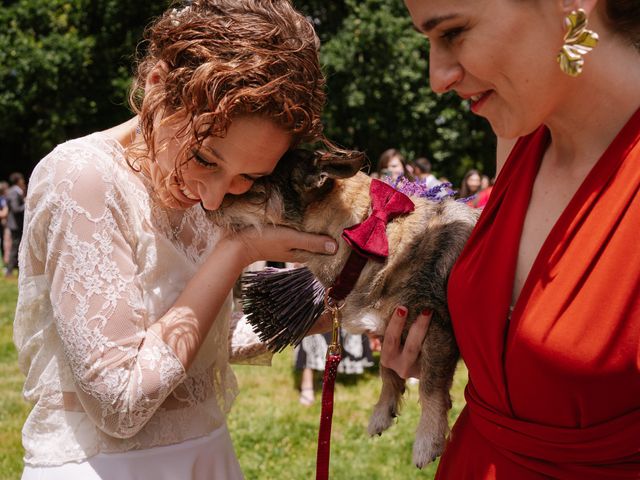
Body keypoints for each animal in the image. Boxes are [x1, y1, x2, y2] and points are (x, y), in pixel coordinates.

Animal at [208, 149, 478, 464]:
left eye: (250, 183)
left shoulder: (435, 327)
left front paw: (428, 439)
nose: (205, 203)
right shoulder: (391, 331)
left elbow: (431, 386)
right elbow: (388, 370)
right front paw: (382, 412)